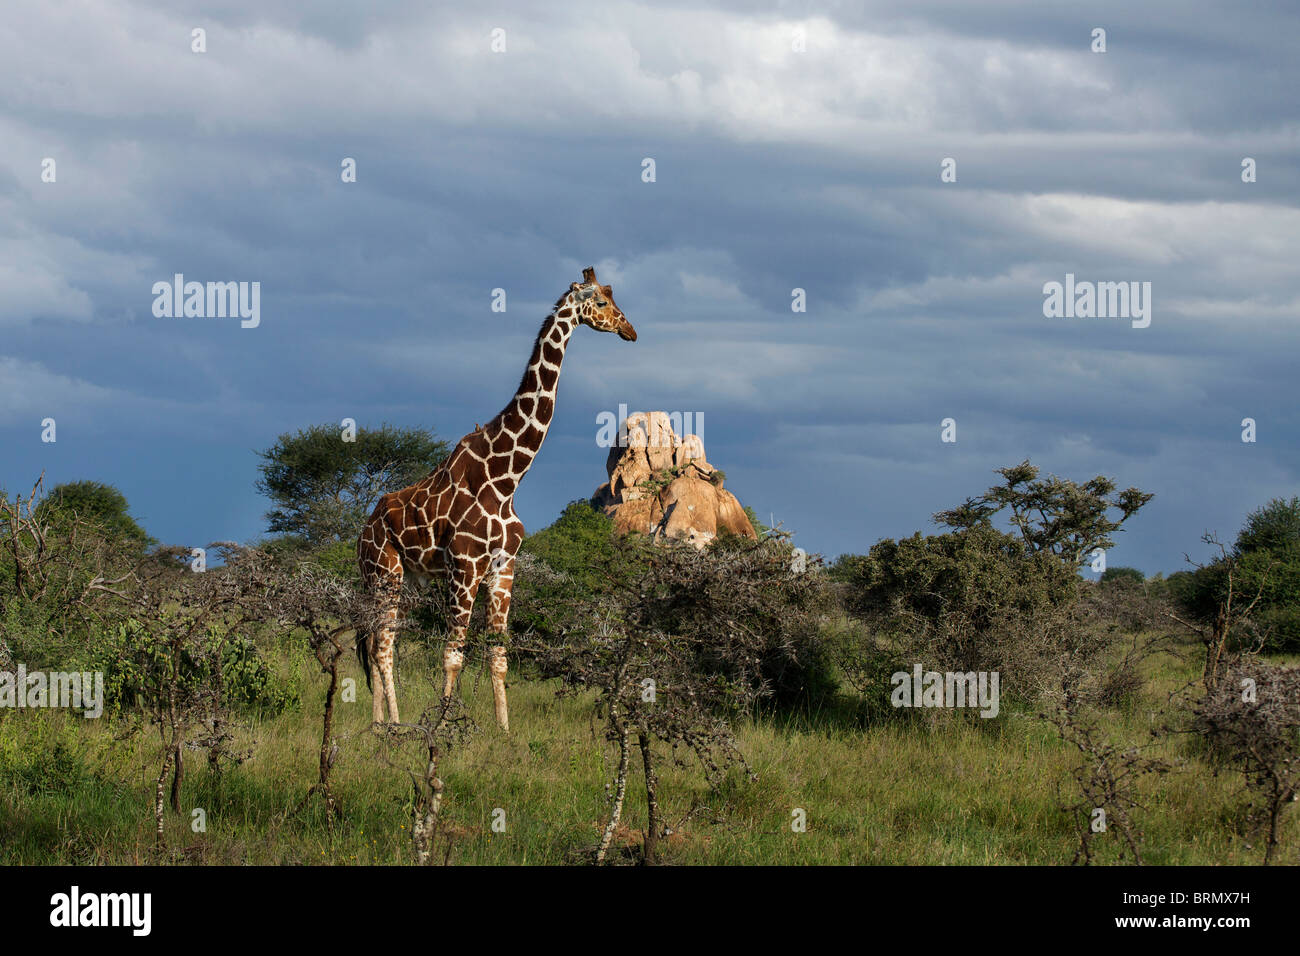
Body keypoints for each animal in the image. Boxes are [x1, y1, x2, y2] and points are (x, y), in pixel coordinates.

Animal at [356, 267, 637, 730]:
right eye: (600, 302)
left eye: (615, 300)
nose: (630, 330)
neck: (506, 478)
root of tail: (361, 532)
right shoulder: (466, 567)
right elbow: (453, 655)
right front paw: (441, 727)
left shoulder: (504, 569)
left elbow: (499, 657)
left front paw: (504, 731)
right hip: (383, 573)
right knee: (380, 645)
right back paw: (394, 723)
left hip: (408, 580)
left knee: (383, 640)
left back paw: (380, 722)